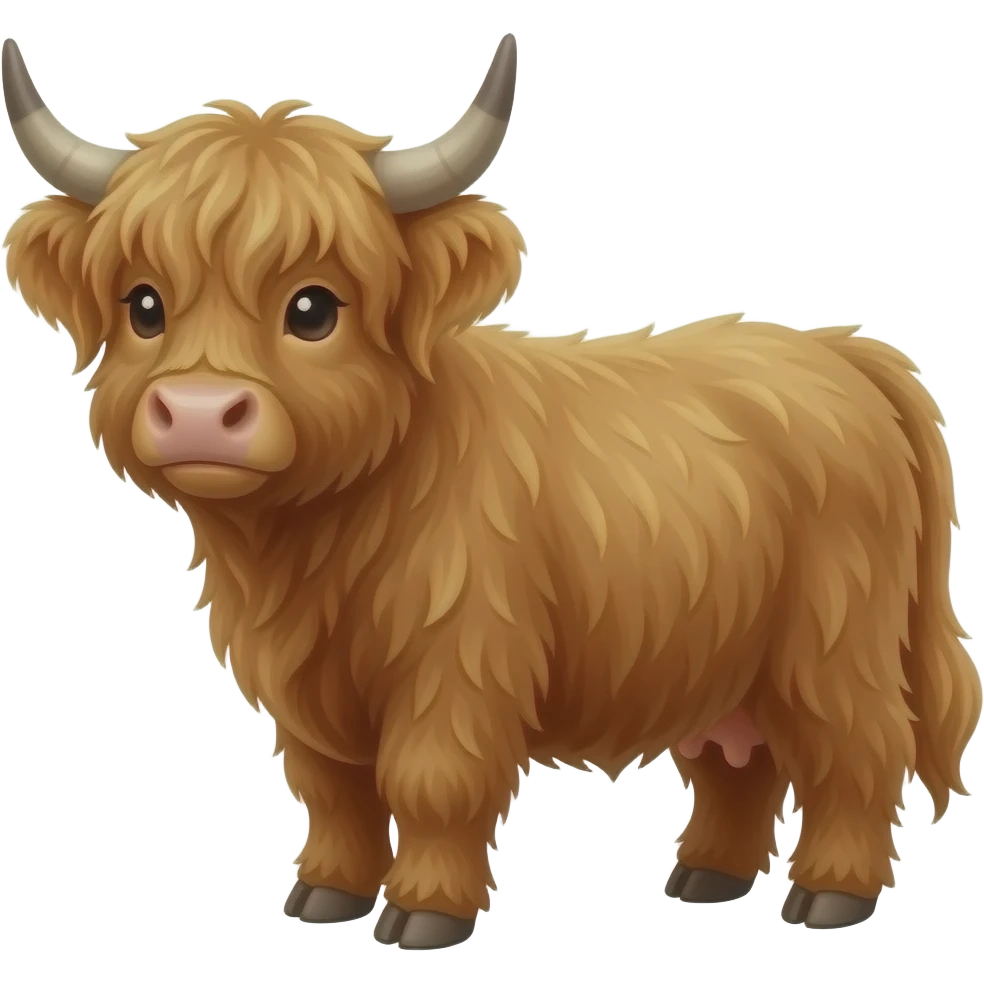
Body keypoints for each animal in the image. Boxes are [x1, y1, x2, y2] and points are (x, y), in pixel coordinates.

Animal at [2, 34, 979, 949]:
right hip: (718, 656)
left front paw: (424, 911)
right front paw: (326, 894)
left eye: (314, 308)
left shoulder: (459, 661)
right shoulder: (306, 694)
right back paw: (706, 875)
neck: (313, 548)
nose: (200, 412)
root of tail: (840, 349)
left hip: (833, 641)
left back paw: (831, 894)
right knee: (738, 764)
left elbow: (432, 780)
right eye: (143, 305)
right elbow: (334, 790)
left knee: (858, 749)